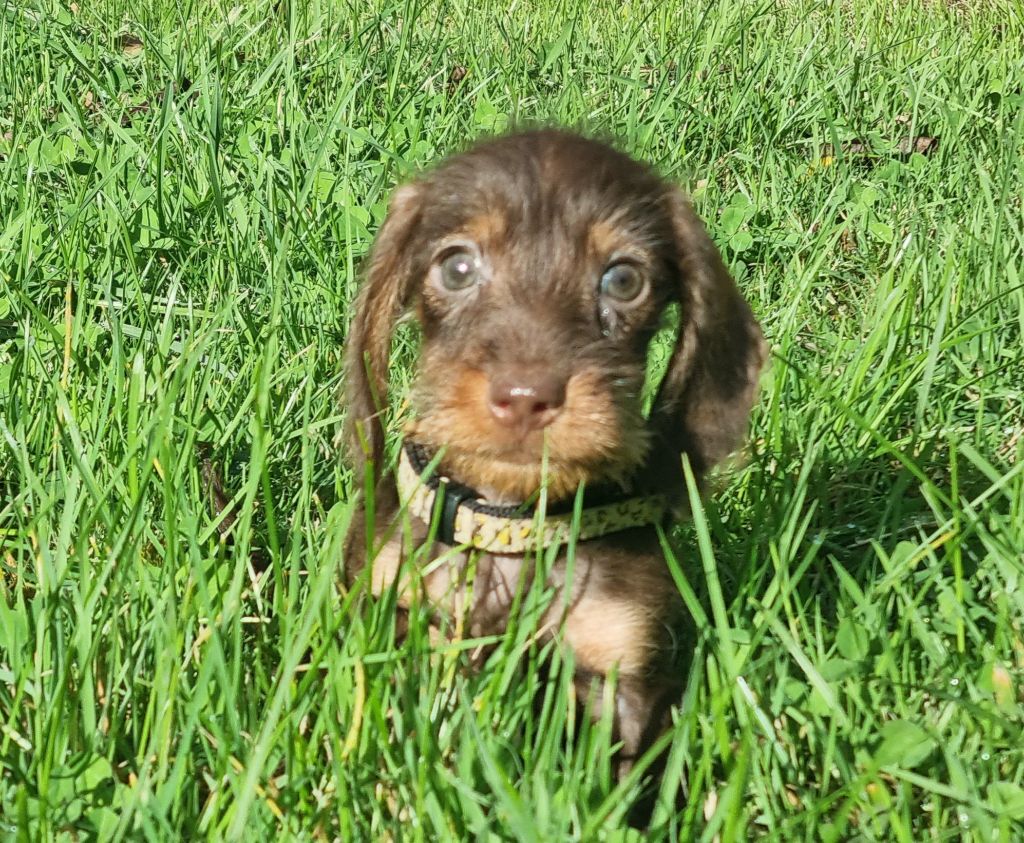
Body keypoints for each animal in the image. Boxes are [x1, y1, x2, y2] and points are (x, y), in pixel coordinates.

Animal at [343, 129, 766, 792]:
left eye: (623, 281)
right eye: (456, 267)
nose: (525, 397)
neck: (513, 528)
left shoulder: (622, 668)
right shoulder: (394, 609)